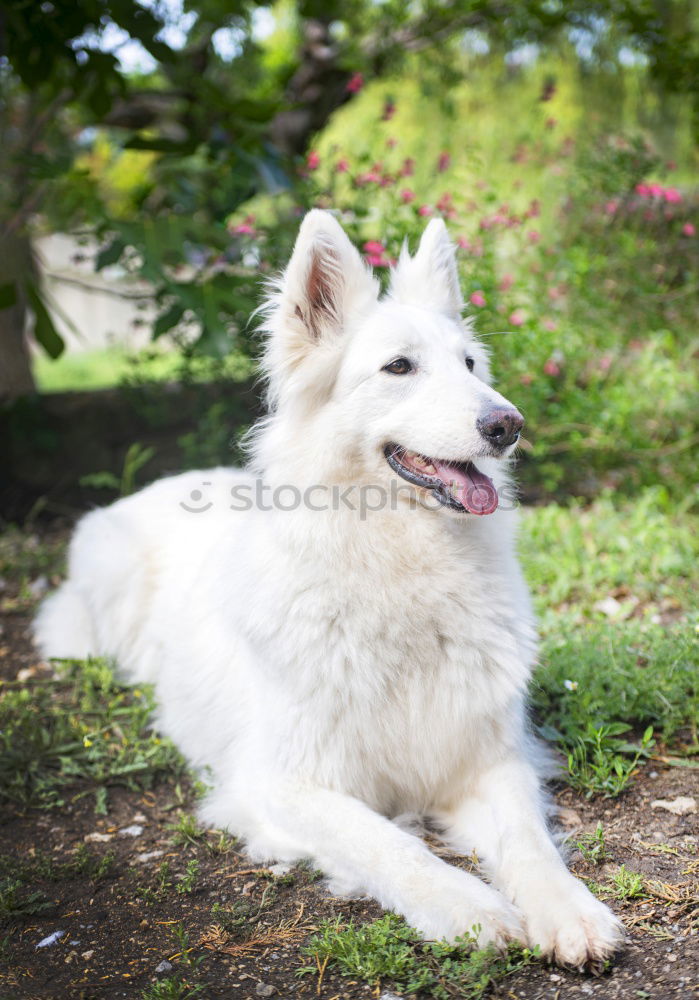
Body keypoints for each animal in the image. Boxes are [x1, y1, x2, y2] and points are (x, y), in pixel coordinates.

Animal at [35, 211, 624, 968]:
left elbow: (529, 843)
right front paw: (467, 908)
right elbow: (391, 843)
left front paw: (569, 911)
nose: (508, 425)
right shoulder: (283, 783)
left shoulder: (493, 759)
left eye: (469, 365)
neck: (399, 571)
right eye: (399, 367)